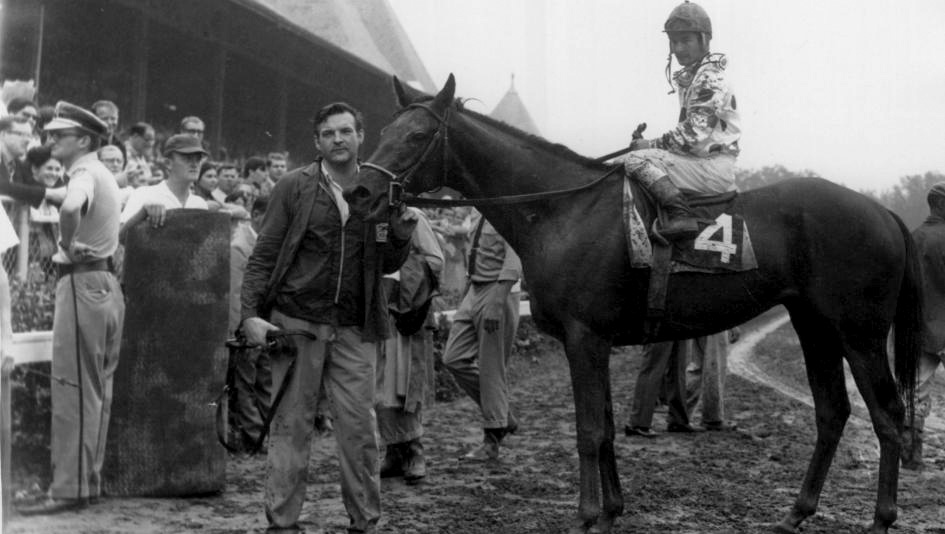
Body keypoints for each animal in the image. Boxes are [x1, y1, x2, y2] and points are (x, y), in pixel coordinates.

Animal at [344, 75, 916, 534]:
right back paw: (798, 511)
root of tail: (883, 212)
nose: (359, 193)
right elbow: (605, 429)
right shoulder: (596, 342)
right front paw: (612, 510)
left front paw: (586, 516)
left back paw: (882, 518)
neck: (562, 210)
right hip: (814, 327)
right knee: (833, 412)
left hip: (860, 335)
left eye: (416, 136)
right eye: (383, 132)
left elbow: (588, 430)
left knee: (887, 413)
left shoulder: (584, 338)